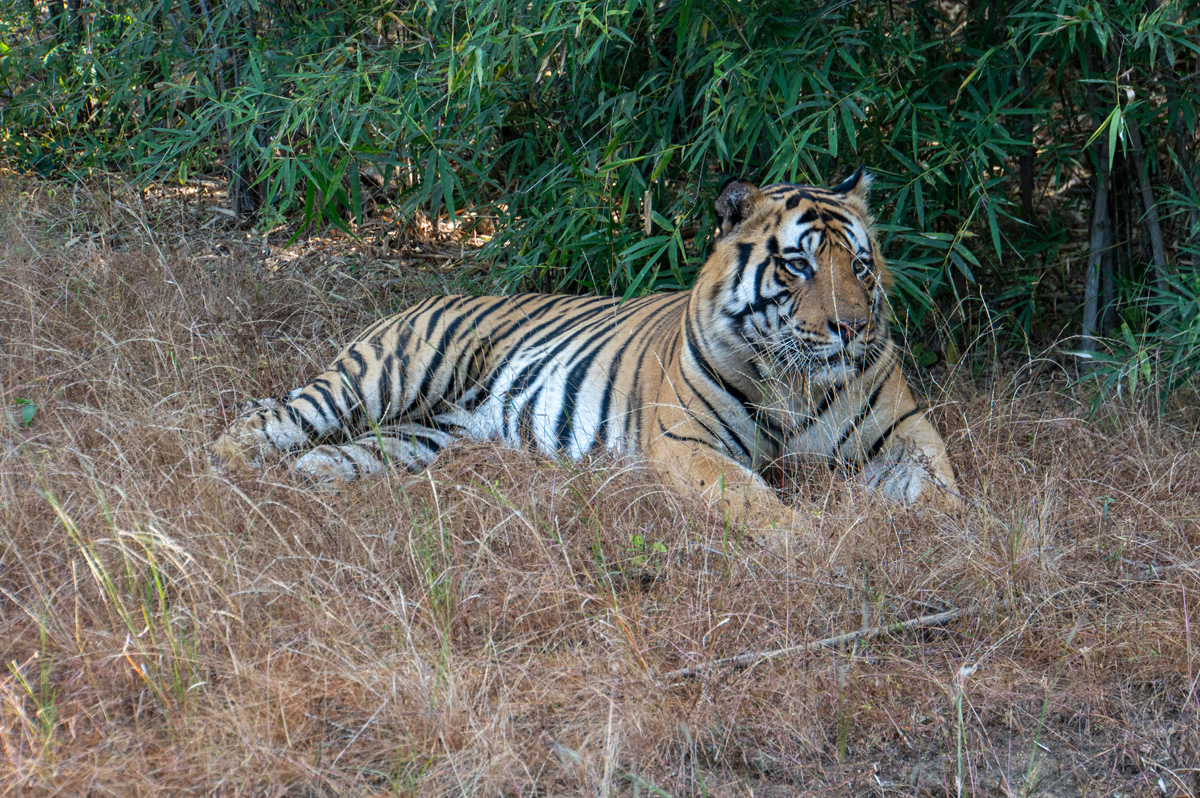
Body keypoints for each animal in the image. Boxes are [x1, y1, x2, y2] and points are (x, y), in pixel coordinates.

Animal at [212, 169, 958, 528]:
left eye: (859, 266)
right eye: (799, 267)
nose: (852, 328)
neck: (797, 381)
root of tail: (423, 298)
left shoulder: (904, 432)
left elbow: (946, 492)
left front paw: (950, 536)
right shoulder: (688, 445)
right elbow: (754, 502)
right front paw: (809, 543)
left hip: (421, 434)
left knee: (337, 453)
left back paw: (308, 481)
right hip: (378, 378)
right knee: (268, 419)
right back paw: (226, 475)